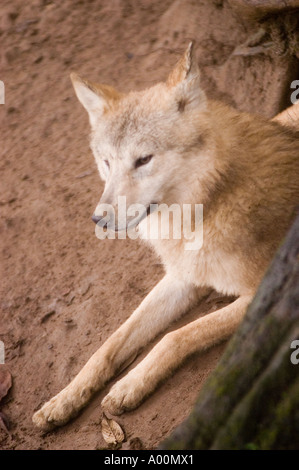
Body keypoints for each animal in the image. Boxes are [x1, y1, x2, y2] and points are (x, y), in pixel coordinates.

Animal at [32, 43, 299, 430]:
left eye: (143, 160)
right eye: (107, 162)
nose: (99, 219)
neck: (205, 207)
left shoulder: (263, 294)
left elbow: (177, 336)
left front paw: (130, 385)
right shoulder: (182, 278)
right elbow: (108, 345)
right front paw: (64, 400)